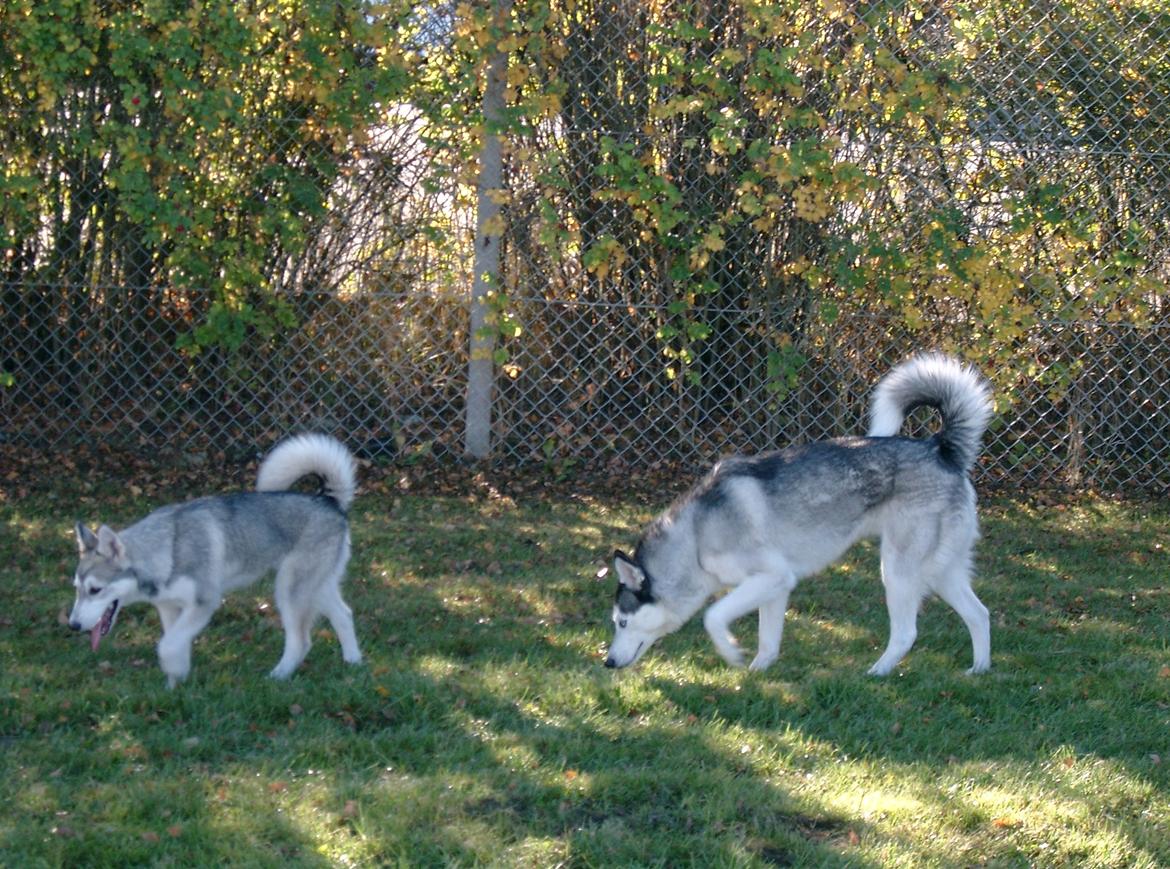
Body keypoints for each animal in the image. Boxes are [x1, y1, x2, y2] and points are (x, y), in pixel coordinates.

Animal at [68, 435, 360, 687]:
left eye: (95, 590)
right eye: (77, 589)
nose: (73, 626)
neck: (167, 550)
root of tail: (327, 500)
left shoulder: (204, 602)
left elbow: (167, 645)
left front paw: (173, 671)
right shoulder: (170, 608)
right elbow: (175, 642)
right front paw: (175, 683)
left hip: (290, 589)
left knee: (301, 641)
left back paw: (278, 676)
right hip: (315, 585)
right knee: (344, 614)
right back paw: (354, 663)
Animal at [603, 355, 996, 678]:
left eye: (621, 622)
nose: (606, 661)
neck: (696, 537)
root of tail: (940, 449)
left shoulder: (771, 576)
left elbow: (712, 616)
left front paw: (731, 654)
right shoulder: (776, 587)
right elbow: (768, 640)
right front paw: (757, 672)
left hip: (898, 571)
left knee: (906, 633)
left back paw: (876, 673)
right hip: (943, 571)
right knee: (980, 614)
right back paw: (979, 670)